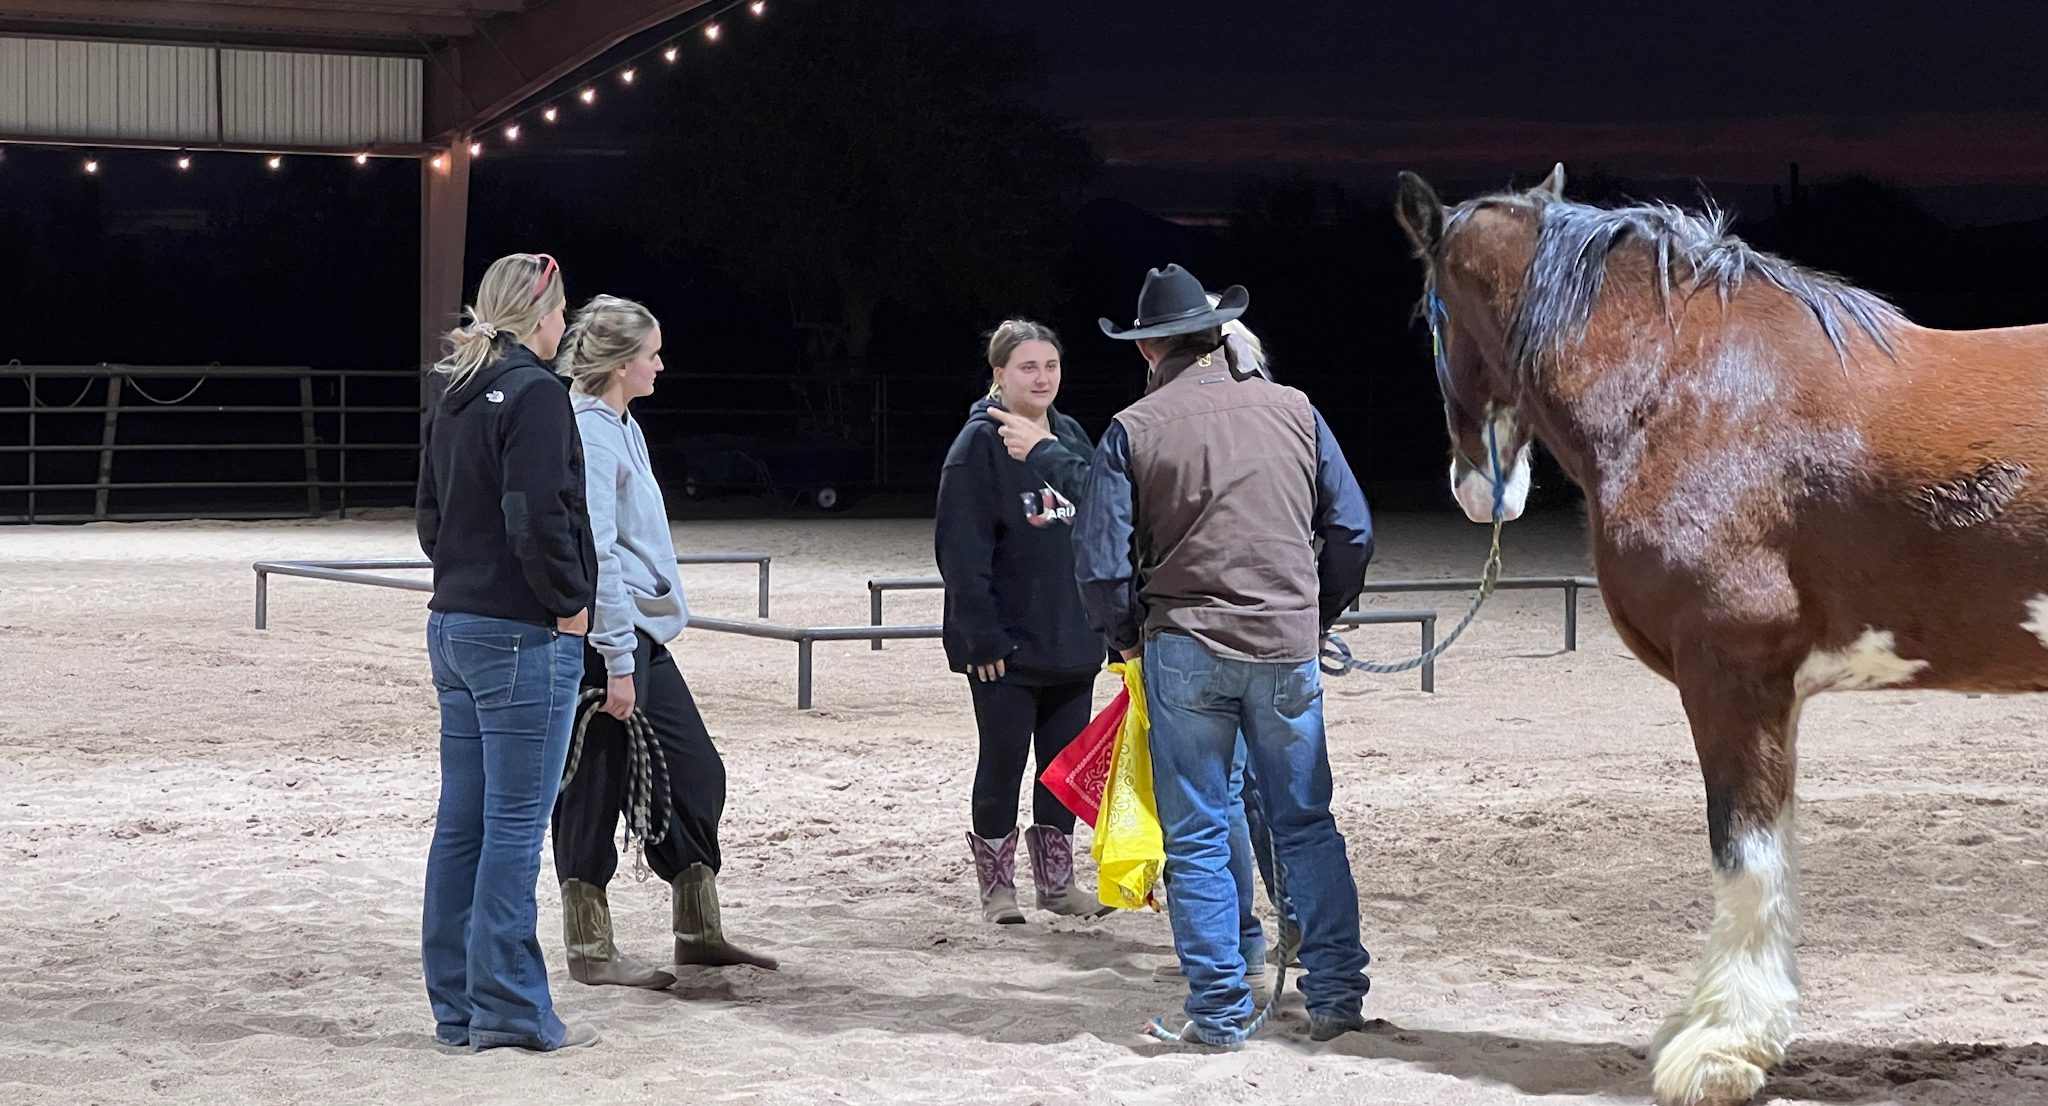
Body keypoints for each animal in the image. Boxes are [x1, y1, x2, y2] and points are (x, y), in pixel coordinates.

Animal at [1392, 165, 2048, 1106]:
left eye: (1429, 316)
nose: (1479, 488)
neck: (1692, 391)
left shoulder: (1733, 677)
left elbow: (1746, 854)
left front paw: (1723, 1047)